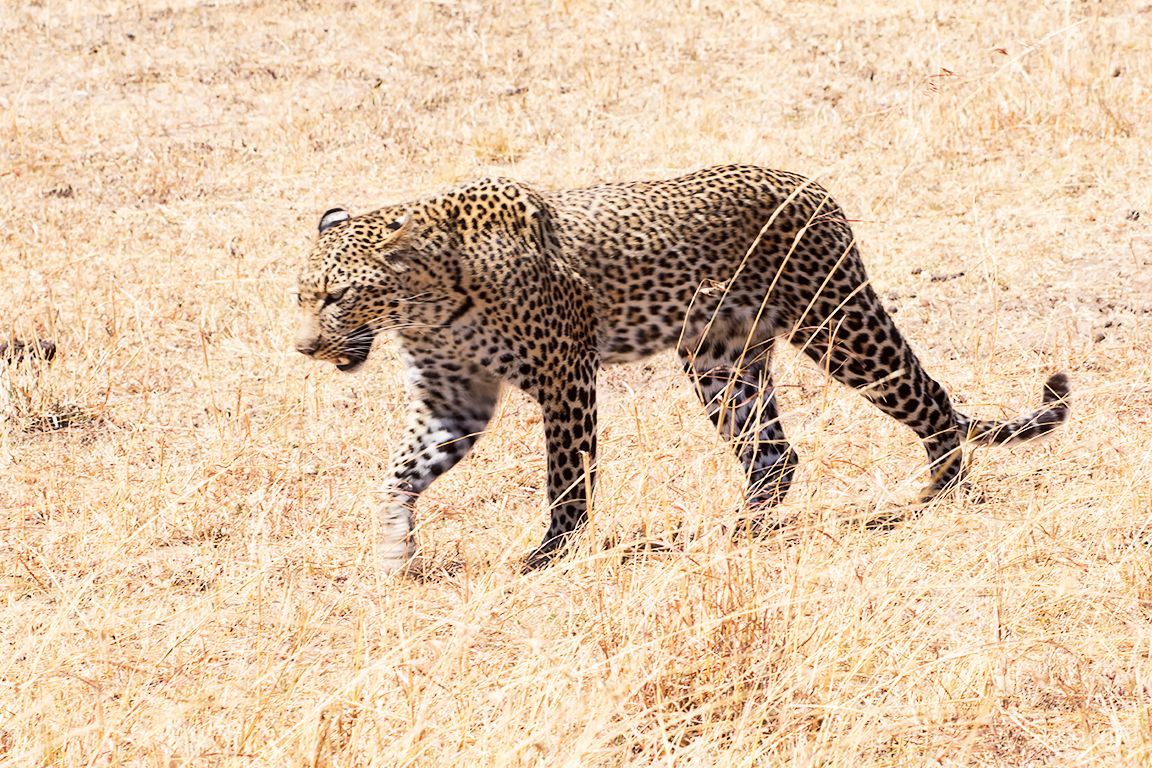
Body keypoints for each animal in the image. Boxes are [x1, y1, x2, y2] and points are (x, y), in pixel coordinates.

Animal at [294, 164, 1070, 573]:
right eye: (301, 297)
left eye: (335, 296)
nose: (305, 348)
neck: (424, 302)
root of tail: (812, 187)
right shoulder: (454, 399)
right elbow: (402, 472)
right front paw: (394, 551)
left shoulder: (565, 375)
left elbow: (567, 479)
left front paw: (550, 557)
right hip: (721, 361)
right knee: (774, 455)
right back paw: (739, 535)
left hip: (838, 325)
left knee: (930, 398)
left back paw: (939, 493)